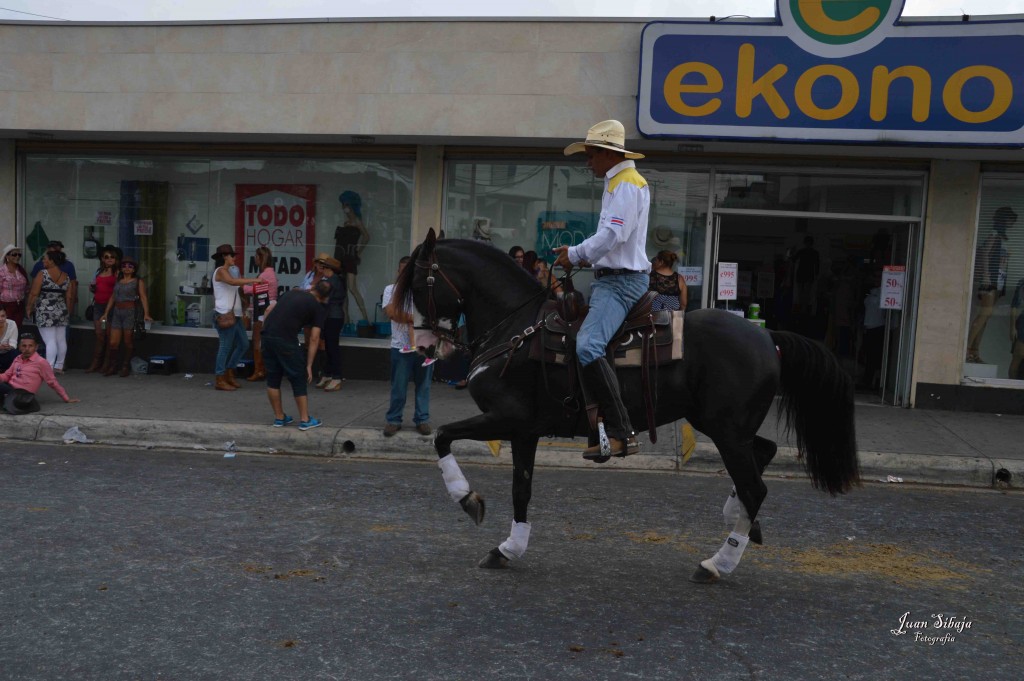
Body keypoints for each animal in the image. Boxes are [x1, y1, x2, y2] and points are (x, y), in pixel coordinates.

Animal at [395, 231, 860, 581]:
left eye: (416, 284)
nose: (422, 347)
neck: (516, 329)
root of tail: (768, 336)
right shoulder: (524, 430)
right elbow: (521, 489)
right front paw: (508, 548)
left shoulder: (505, 417)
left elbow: (443, 437)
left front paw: (466, 498)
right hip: (722, 424)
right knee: (762, 456)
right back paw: (737, 516)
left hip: (726, 429)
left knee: (755, 486)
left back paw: (718, 562)